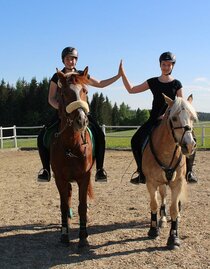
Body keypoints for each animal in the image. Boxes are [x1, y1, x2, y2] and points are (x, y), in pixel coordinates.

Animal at [143, 93, 197, 248]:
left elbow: (174, 209)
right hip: (161, 183)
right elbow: (154, 204)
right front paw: (153, 230)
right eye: (174, 118)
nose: (189, 146)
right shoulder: (151, 182)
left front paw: (173, 237)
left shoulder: (177, 183)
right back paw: (161, 220)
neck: (166, 151)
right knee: (162, 197)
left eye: (192, 118)